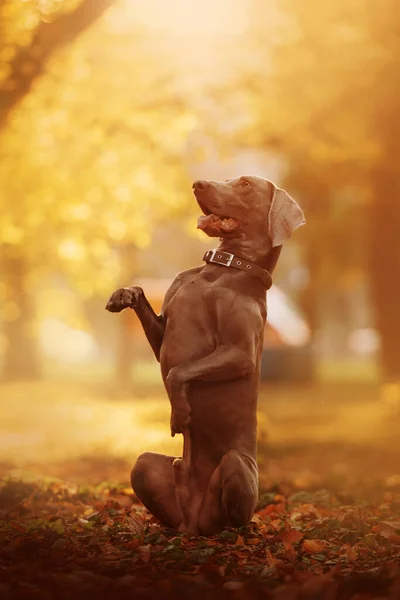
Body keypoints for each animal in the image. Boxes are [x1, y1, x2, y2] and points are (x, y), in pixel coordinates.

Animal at [104, 173, 304, 536]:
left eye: (244, 184)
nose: (198, 183)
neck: (222, 269)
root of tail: (193, 521)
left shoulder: (240, 352)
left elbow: (177, 372)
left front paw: (180, 413)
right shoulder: (163, 335)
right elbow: (142, 299)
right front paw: (123, 294)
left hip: (237, 467)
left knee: (232, 520)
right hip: (143, 466)